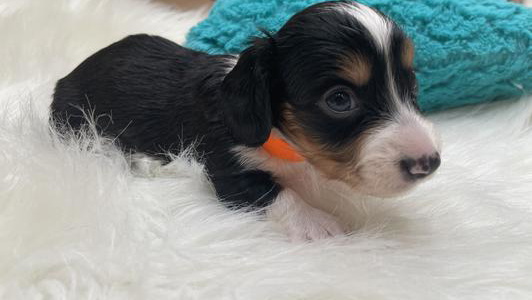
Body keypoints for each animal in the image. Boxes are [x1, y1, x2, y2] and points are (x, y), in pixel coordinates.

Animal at [50, 1, 440, 241]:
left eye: (412, 84)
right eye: (340, 100)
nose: (429, 163)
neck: (280, 137)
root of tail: (67, 76)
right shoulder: (227, 166)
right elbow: (275, 192)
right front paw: (318, 224)